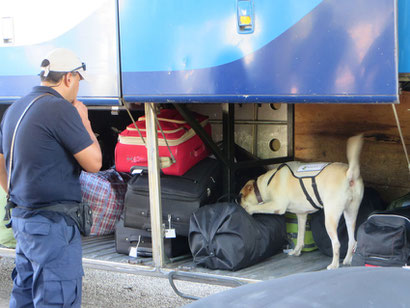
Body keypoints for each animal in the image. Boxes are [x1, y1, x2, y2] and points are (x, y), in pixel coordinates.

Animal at [239, 135, 364, 270]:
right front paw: (296, 251)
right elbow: (300, 237)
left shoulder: (277, 206)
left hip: (331, 217)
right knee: (352, 241)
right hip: (350, 214)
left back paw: (334, 265)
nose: (237, 204)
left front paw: (249, 209)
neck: (266, 183)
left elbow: (259, 207)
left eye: (240, 197)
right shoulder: (302, 215)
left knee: (336, 243)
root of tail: (349, 173)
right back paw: (347, 260)